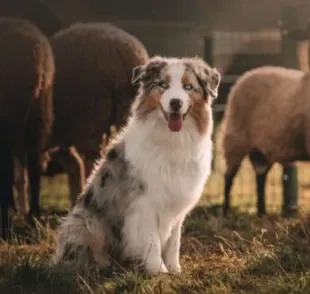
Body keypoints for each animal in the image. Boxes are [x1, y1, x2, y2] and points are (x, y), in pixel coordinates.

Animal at [52, 55, 220, 276]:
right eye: (163, 85)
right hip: (86, 221)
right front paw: (159, 272)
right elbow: (151, 241)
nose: (175, 103)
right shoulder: (144, 203)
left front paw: (175, 270)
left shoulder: (177, 204)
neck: (172, 140)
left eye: (188, 87)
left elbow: (173, 243)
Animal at [220, 65, 310, 216]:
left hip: (261, 150)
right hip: (236, 140)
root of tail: (245, 76)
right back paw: (226, 211)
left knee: (260, 177)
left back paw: (262, 212)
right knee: (228, 177)